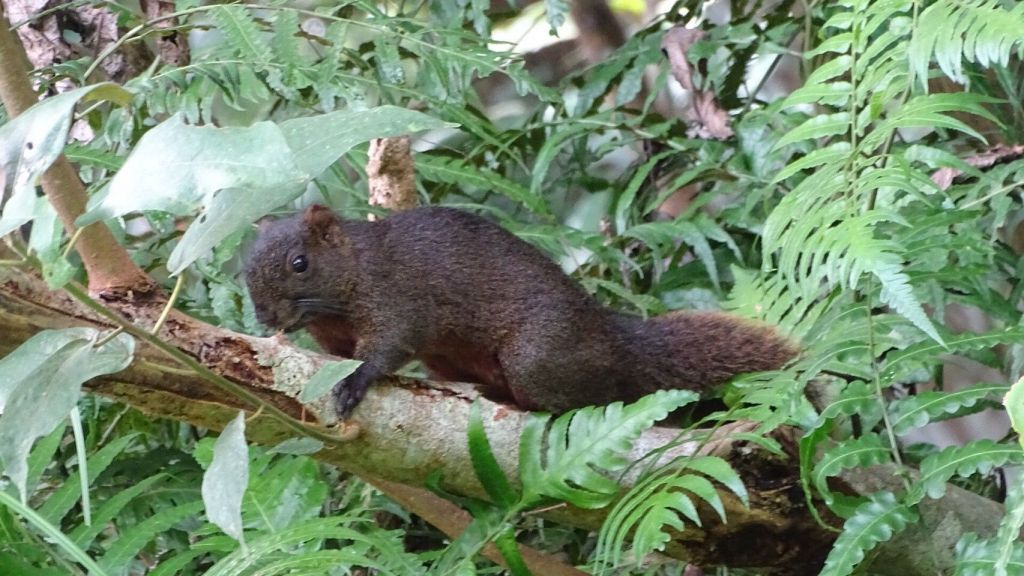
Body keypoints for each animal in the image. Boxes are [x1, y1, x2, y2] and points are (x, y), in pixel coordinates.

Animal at [243, 203, 794, 414]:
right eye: (243, 265)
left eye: (299, 263)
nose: (266, 317)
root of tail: (613, 338)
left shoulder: (396, 298)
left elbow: (388, 346)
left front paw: (355, 383)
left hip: (538, 358)